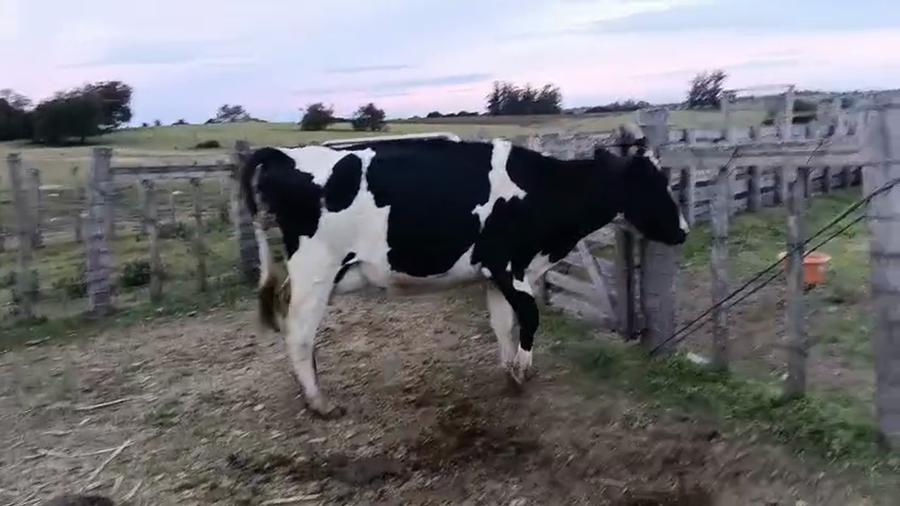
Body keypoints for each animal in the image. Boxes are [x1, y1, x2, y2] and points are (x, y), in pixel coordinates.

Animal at [239, 126, 689, 418]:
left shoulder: (492, 272)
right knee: (299, 333)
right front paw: (522, 371)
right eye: (653, 184)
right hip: (316, 269)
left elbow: (503, 324)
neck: (542, 191)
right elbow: (530, 317)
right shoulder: (509, 264)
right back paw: (320, 403)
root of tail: (286, 154)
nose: (683, 231)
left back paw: (310, 390)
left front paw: (509, 372)